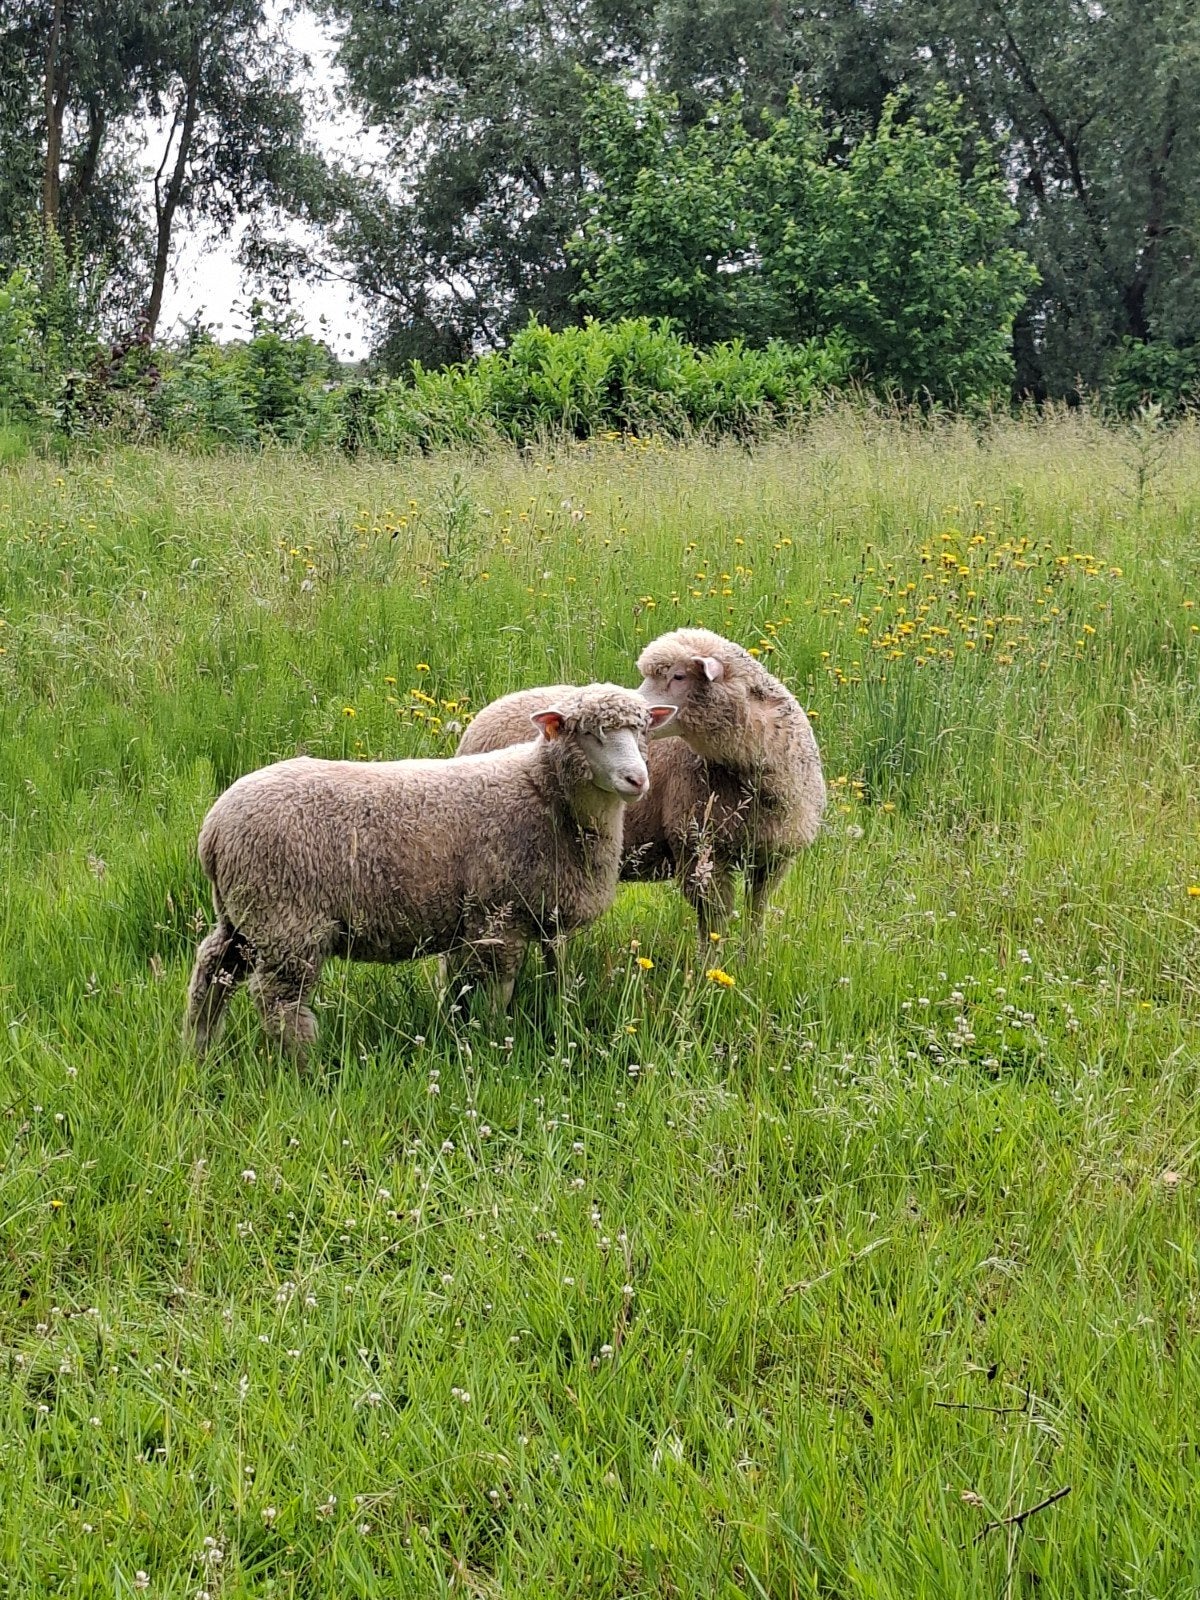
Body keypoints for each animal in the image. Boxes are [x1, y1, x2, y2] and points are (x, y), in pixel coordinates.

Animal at [185, 685, 677, 1060]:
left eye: (642, 730)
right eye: (590, 733)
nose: (637, 779)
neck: (541, 791)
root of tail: (213, 830)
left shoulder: (535, 913)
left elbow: (547, 974)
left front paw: (555, 1015)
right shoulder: (498, 918)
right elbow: (498, 990)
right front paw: (496, 1039)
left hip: (245, 916)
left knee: (212, 970)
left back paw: (200, 1047)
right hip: (287, 920)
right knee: (278, 1001)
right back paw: (304, 1063)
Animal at [456, 629, 825, 951]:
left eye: (679, 676)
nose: (644, 714)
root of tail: (484, 716)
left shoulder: (775, 857)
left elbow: (755, 916)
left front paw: (751, 961)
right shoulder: (698, 849)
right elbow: (714, 924)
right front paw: (710, 971)